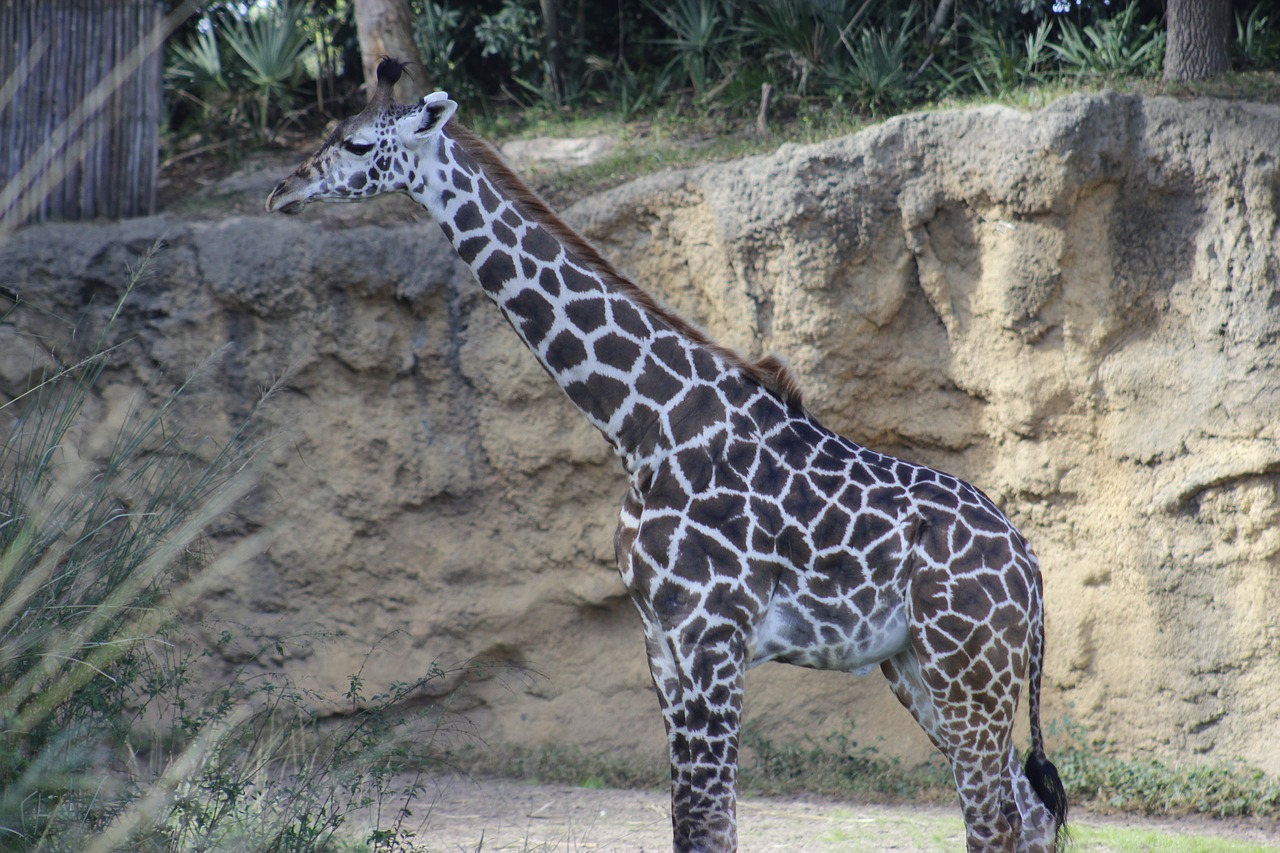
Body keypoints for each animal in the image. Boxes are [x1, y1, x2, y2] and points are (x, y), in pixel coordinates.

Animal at [267, 56, 1070, 845]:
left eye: (359, 144)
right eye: (333, 132)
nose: (282, 190)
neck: (642, 426)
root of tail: (1032, 571)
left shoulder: (710, 634)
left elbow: (707, 820)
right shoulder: (661, 640)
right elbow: (692, 819)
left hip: (965, 661)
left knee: (995, 816)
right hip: (917, 665)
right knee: (1024, 813)